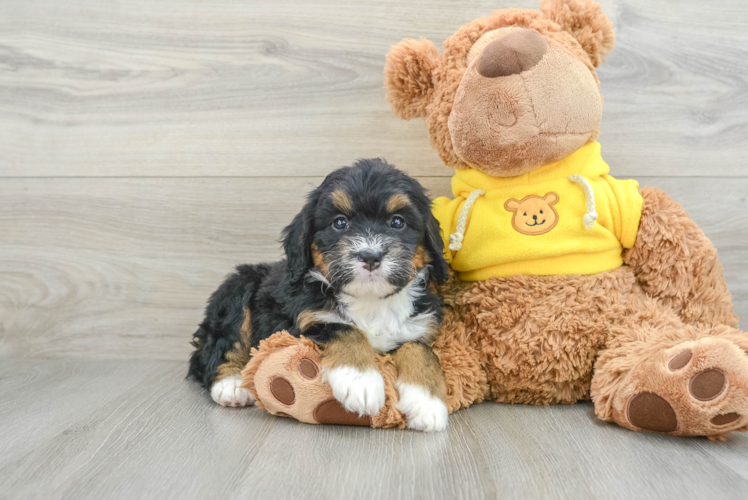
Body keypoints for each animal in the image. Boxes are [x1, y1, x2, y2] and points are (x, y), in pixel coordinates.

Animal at [190, 159, 452, 430]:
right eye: (340, 222)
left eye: (397, 222)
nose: (370, 255)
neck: (370, 300)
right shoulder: (301, 324)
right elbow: (344, 329)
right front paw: (361, 381)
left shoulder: (419, 326)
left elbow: (422, 351)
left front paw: (427, 401)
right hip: (239, 286)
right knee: (220, 343)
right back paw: (231, 384)